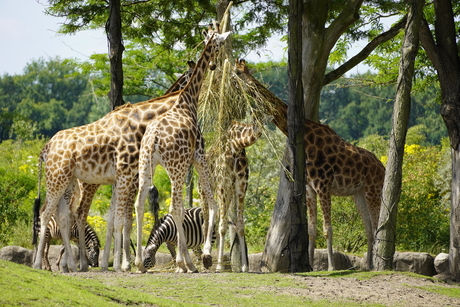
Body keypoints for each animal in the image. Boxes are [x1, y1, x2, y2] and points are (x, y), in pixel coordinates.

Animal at [31, 51, 217, 274]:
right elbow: (125, 219)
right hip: (80, 183)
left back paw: (70, 265)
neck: (141, 124)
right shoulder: (130, 177)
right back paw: (60, 264)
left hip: (69, 183)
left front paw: (113, 263)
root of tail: (45, 147)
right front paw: (125, 263)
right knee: (72, 214)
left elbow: (115, 219)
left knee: (64, 215)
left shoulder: (123, 179)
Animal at [134, 27, 234, 274]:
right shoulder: (198, 155)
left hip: (147, 165)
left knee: (139, 204)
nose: (214, 65)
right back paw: (186, 262)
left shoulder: (188, 161)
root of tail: (154, 139)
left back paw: (139, 263)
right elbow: (209, 201)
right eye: (220, 44)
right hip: (175, 167)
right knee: (174, 207)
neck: (188, 100)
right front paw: (204, 256)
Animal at [212, 119, 262, 274]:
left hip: (228, 193)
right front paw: (219, 266)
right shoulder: (223, 184)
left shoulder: (241, 184)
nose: (259, 131)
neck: (236, 146)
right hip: (211, 189)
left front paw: (245, 266)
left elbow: (239, 225)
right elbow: (222, 226)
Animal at [234, 59, 384, 270]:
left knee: (377, 224)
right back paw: (368, 266)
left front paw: (331, 267)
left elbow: (328, 228)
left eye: (239, 72)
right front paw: (311, 265)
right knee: (369, 227)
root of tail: (383, 168)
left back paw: (379, 264)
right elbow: (312, 230)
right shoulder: (310, 188)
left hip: (373, 189)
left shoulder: (323, 185)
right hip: (359, 193)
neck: (306, 136)